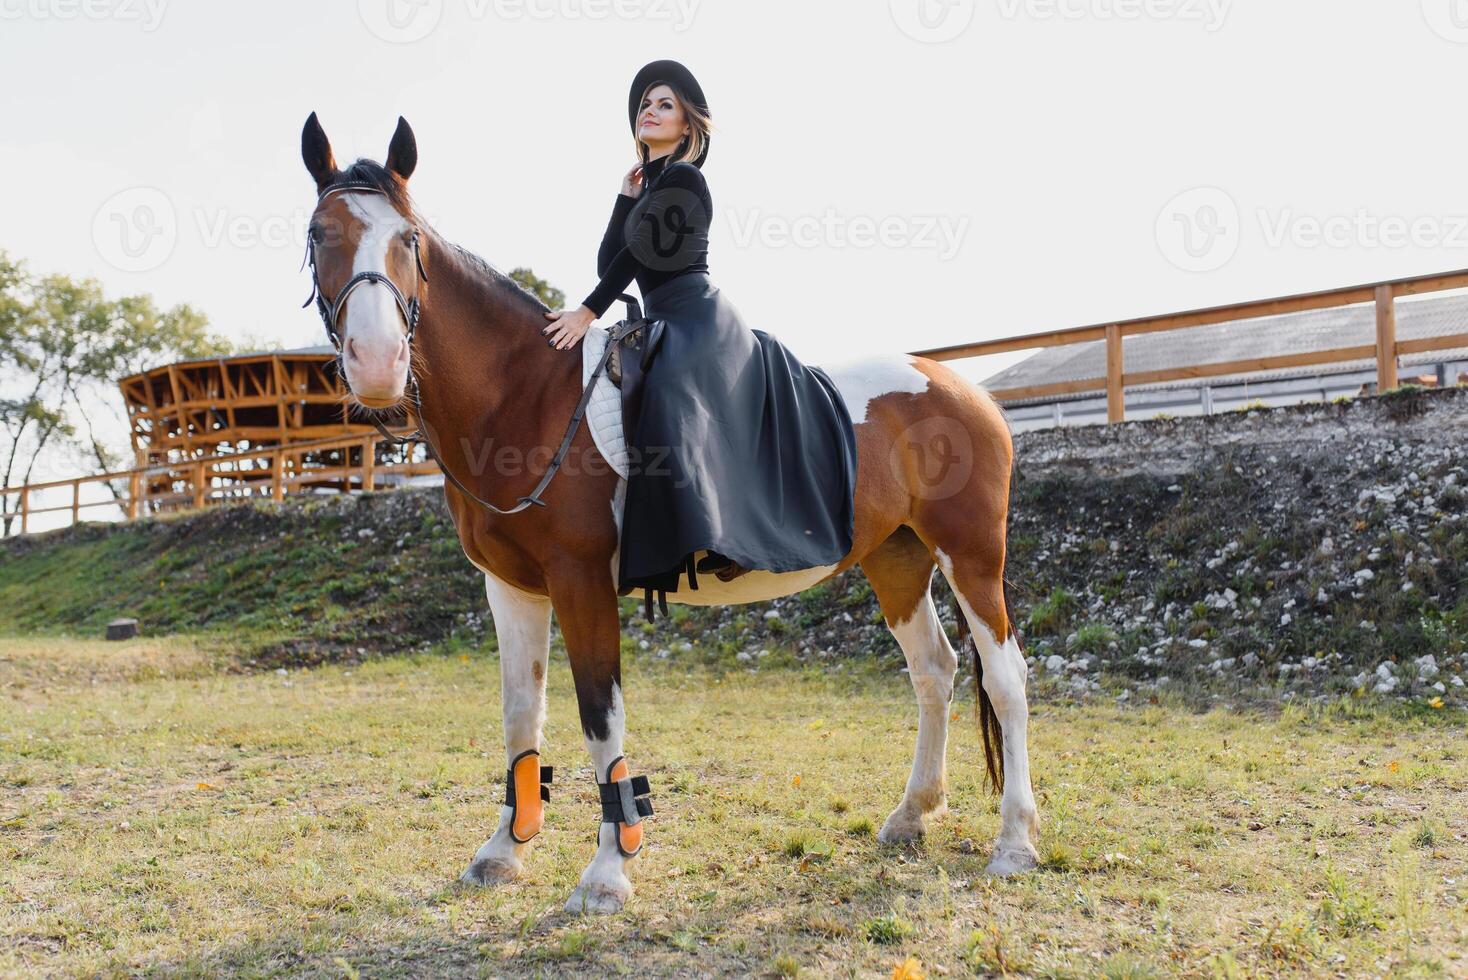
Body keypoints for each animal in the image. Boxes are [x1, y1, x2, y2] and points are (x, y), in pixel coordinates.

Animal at [298, 115, 1039, 909]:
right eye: (319, 233)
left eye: (407, 239)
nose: (377, 363)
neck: (526, 391)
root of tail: (963, 387)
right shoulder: (512, 587)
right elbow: (520, 713)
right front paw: (503, 850)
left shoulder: (582, 582)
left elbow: (600, 714)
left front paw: (607, 871)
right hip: (897, 557)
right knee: (933, 670)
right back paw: (911, 815)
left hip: (971, 558)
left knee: (1006, 677)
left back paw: (1015, 842)